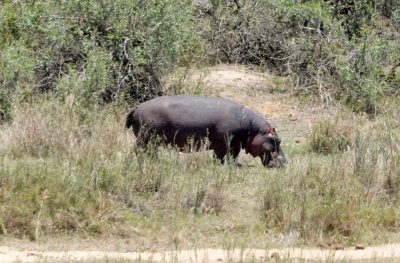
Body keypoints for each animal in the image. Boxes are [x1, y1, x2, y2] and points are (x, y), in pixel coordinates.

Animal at [126, 96, 286, 168]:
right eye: (278, 140)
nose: (285, 161)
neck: (254, 130)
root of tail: (136, 107)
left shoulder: (235, 144)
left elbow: (233, 157)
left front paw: (235, 165)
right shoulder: (224, 144)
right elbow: (220, 157)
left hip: (150, 141)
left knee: (150, 152)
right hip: (145, 139)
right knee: (140, 150)